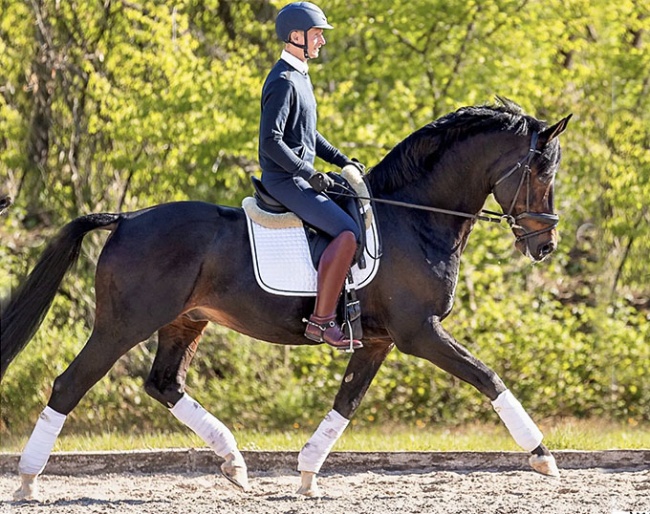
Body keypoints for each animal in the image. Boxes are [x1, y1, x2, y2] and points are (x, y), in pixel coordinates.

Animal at [0, 99, 568, 496]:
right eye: (541, 171)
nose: (545, 245)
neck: (414, 217)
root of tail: (127, 218)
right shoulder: (419, 333)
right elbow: (487, 376)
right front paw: (542, 454)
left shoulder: (378, 341)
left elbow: (346, 403)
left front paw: (308, 475)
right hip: (123, 325)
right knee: (69, 385)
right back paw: (28, 481)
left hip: (186, 321)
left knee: (164, 384)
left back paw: (233, 462)